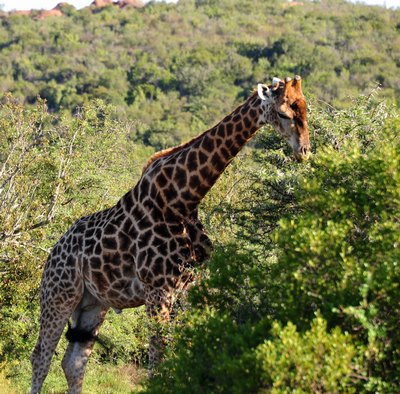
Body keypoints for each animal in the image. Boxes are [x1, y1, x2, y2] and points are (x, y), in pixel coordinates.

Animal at [31, 75, 310, 392]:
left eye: (306, 110)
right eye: (284, 113)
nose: (304, 151)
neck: (183, 199)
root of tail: (53, 252)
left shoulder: (189, 288)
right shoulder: (157, 290)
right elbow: (158, 362)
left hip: (92, 304)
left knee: (74, 361)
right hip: (59, 294)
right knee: (41, 355)